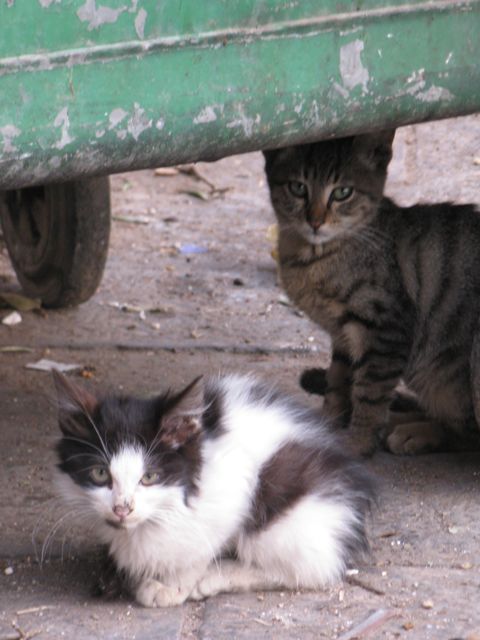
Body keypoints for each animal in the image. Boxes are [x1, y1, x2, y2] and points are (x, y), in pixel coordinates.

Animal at [53, 370, 376, 604]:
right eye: (99, 473)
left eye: (149, 477)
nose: (122, 508)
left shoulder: (234, 485)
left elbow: (202, 543)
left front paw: (172, 587)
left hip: (284, 517)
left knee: (308, 568)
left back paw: (216, 577)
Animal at [262, 131, 480, 456]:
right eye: (298, 187)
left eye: (343, 193)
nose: (315, 221)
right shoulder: (344, 336)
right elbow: (339, 382)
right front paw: (329, 423)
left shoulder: (384, 331)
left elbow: (369, 393)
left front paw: (357, 441)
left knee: (466, 434)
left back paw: (413, 431)